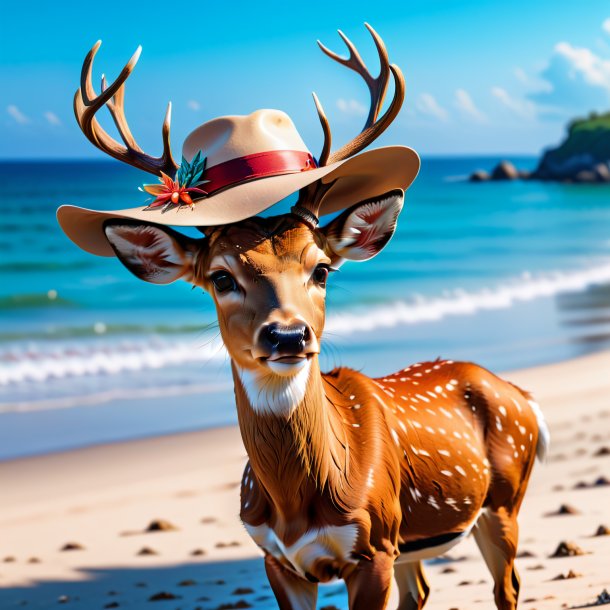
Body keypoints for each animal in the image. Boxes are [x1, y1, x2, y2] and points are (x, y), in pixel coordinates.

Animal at [59, 23, 548, 608]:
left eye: (321, 269)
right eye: (220, 277)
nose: (288, 335)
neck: (298, 506)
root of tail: (521, 395)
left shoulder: (372, 544)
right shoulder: (277, 558)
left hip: (503, 499)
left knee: (508, 586)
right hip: (419, 539)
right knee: (423, 589)